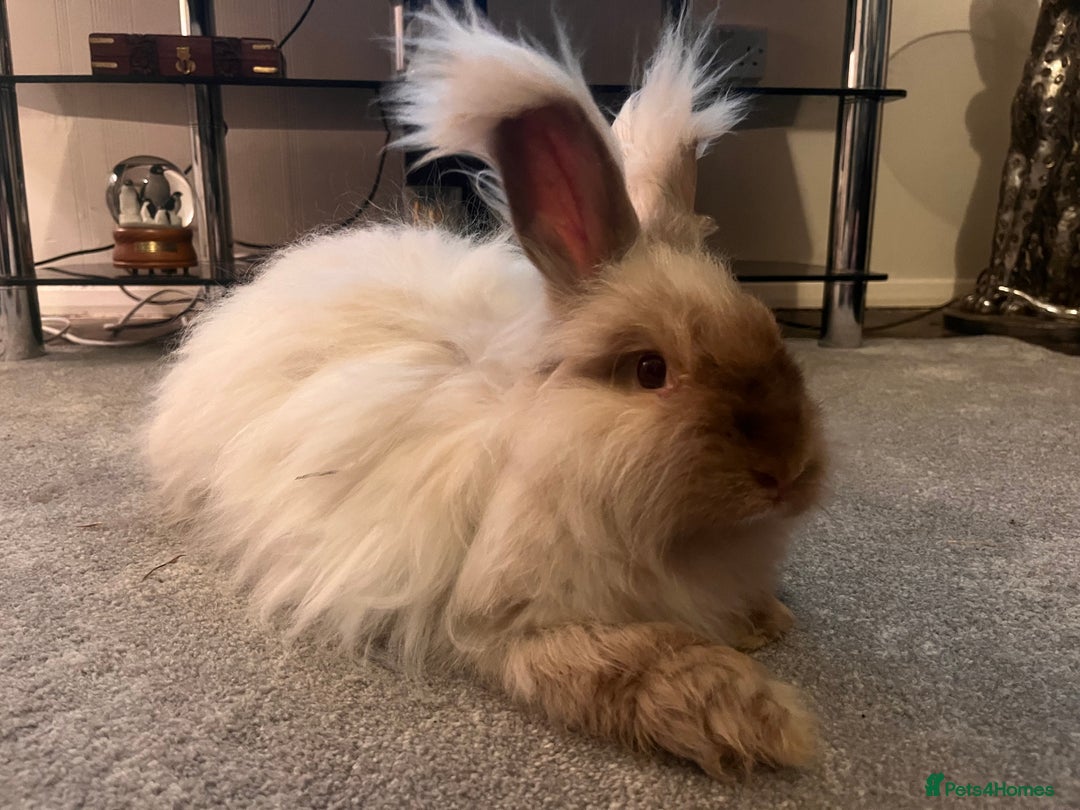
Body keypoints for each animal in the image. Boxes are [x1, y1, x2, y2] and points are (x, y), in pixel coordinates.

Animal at [145, 3, 826, 779]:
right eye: (650, 371)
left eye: (771, 329)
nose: (787, 472)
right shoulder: (509, 625)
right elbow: (634, 664)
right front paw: (762, 721)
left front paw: (768, 622)